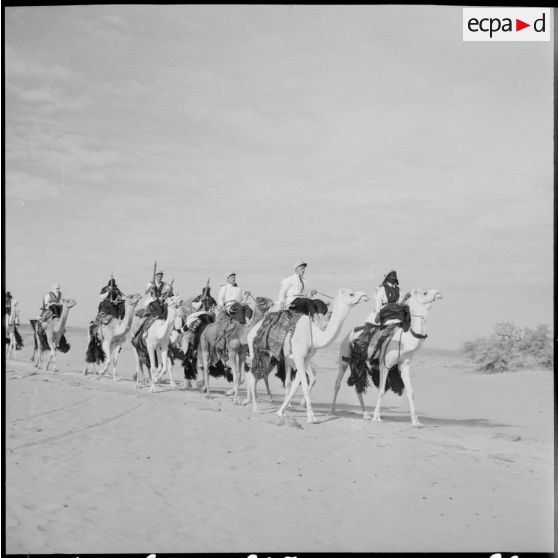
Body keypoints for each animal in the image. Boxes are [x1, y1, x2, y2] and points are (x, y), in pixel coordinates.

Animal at [247, 290, 370, 422]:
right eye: (351, 294)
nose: (365, 295)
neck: (315, 336)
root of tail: (253, 329)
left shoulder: (304, 359)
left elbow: (297, 385)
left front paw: (281, 412)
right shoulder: (299, 357)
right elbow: (304, 386)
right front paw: (311, 417)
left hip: (267, 355)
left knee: (259, 374)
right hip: (255, 349)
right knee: (253, 375)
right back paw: (256, 408)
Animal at [332, 290, 446, 426]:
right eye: (424, 292)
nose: (439, 293)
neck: (406, 339)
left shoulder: (404, 364)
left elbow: (410, 392)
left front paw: (416, 422)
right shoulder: (384, 364)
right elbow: (381, 390)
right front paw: (377, 418)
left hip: (360, 362)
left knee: (358, 385)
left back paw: (366, 415)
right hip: (345, 356)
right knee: (338, 382)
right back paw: (333, 411)